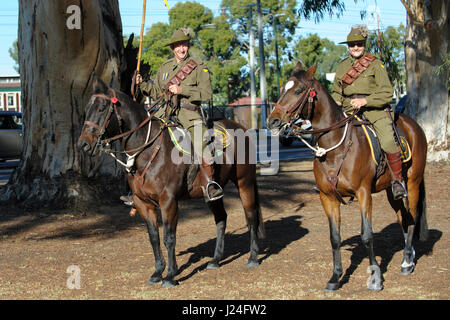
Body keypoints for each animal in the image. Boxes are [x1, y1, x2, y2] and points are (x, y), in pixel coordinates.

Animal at [78, 78, 266, 288]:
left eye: (102, 108)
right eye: (86, 109)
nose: (82, 144)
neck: (149, 150)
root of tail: (242, 129)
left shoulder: (168, 202)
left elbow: (169, 237)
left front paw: (170, 276)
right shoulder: (143, 204)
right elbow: (154, 238)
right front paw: (157, 272)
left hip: (244, 183)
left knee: (251, 217)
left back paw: (253, 257)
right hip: (211, 194)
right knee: (221, 218)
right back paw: (216, 260)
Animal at [268, 63, 428, 292]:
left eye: (298, 91)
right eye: (282, 89)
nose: (272, 120)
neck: (335, 147)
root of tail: (414, 126)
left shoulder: (364, 193)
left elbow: (367, 235)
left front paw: (376, 277)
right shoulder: (327, 198)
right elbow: (334, 238)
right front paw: (336, 277)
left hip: (413, 183)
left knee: (413, 217)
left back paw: (407, 261)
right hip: (392, 190)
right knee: (403, 218)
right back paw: (409, 255)